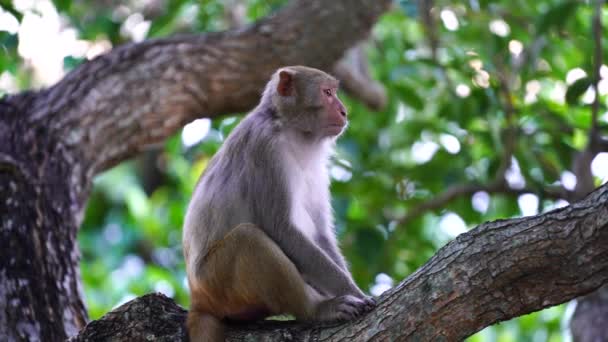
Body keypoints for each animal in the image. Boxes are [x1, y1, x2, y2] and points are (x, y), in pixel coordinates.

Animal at [183, 65, 376, 340]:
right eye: (327, 93)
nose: (344, 111)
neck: (291, 129)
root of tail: (196, 297)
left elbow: (319, 234)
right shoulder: (265, 148)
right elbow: (281, 228)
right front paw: (355, 293)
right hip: (216, 283)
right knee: (248, 239)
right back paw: (316, 309)